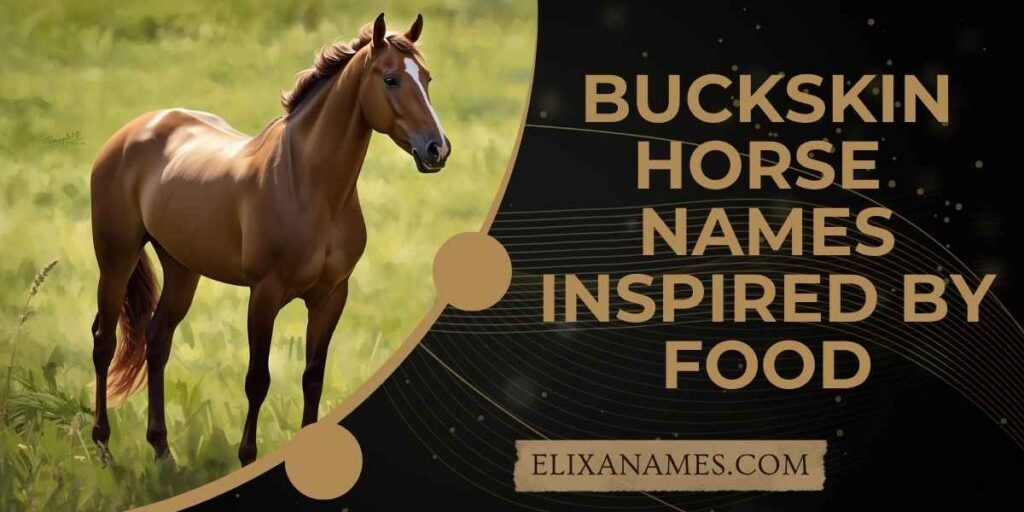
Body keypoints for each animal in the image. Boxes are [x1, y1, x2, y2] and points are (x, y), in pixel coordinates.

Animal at [88, 13, 450, 467]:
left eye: (428, 78)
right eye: (390, 79)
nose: (437, 150)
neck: (310, 187)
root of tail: (131, 132)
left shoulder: (331, 296)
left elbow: (313, 377)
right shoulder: (265, 293)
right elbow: (257, 379)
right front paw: (247, 457)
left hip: (182, 269)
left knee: (156, 341)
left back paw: (162, 452)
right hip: (116, 259)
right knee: (104, 341)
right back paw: (103, 448)